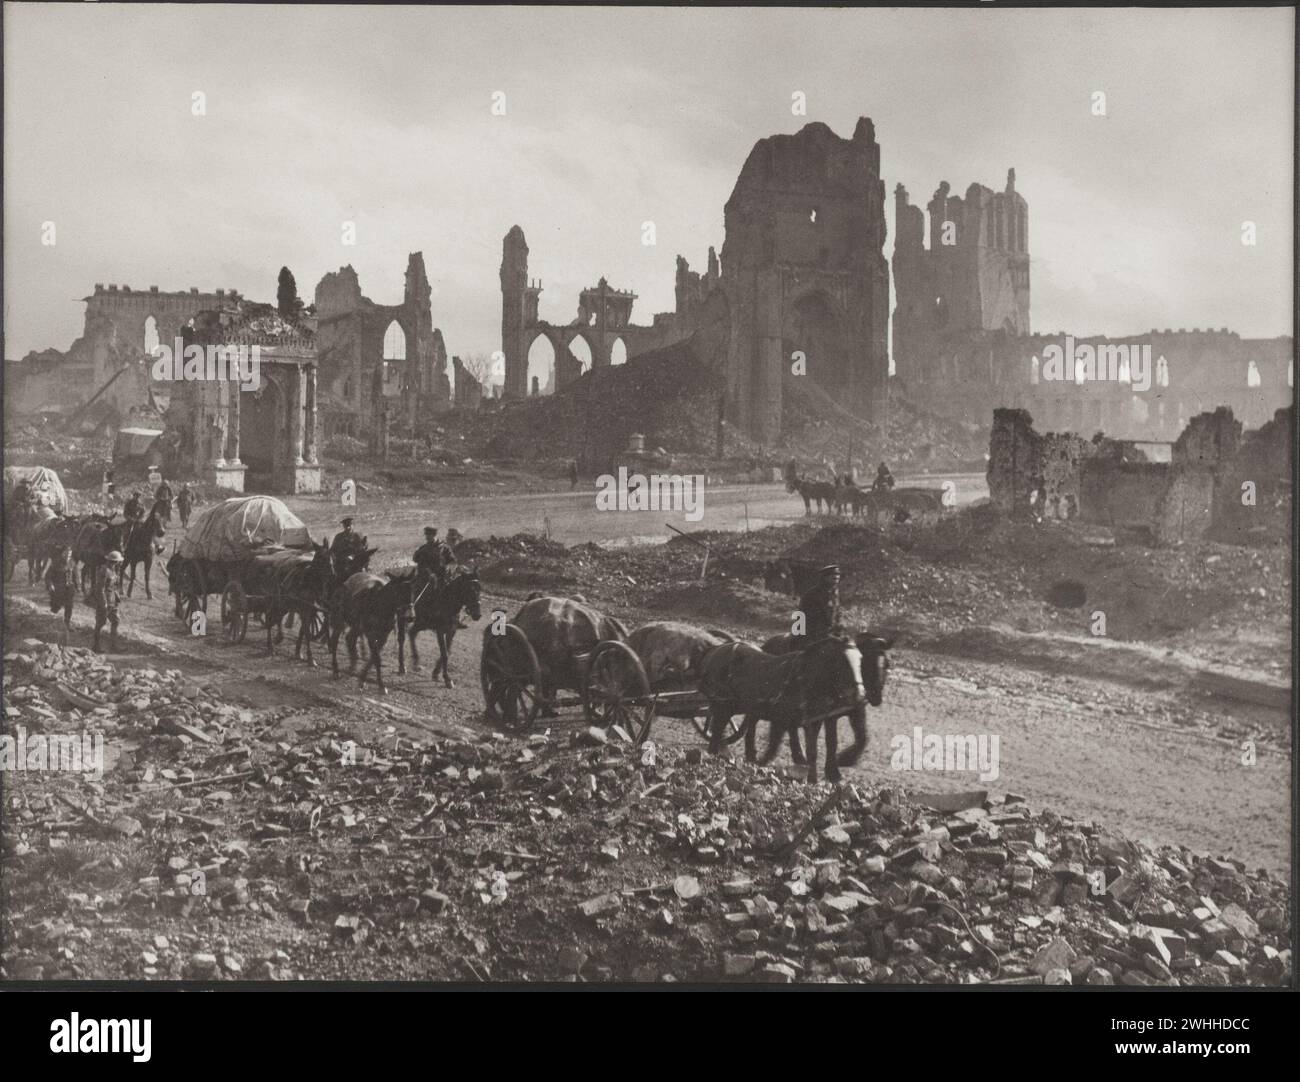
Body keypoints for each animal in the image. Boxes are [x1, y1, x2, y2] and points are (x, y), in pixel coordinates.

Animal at [696, 629, 868, 780]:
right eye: (843, 661)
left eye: (861, 659)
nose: (859, 694)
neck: (806, 678)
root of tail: (714, 650)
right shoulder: (789, 720)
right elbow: (782, 744)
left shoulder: (816, 720)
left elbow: (819, 748)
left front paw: (817, 777)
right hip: (722, 706)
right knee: (718, 732)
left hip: (738, 707)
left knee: (739, 726)